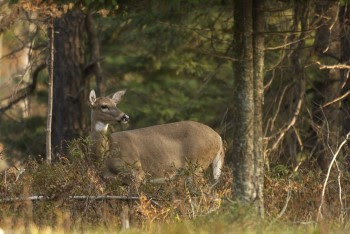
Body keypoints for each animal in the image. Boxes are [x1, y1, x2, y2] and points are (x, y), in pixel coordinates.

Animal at [89, 89, 224, 185]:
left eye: (115, 104)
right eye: (103, 106)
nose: (125, 117)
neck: (106, 154)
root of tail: (218, 137)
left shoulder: (136, 171)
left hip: (198, 164)